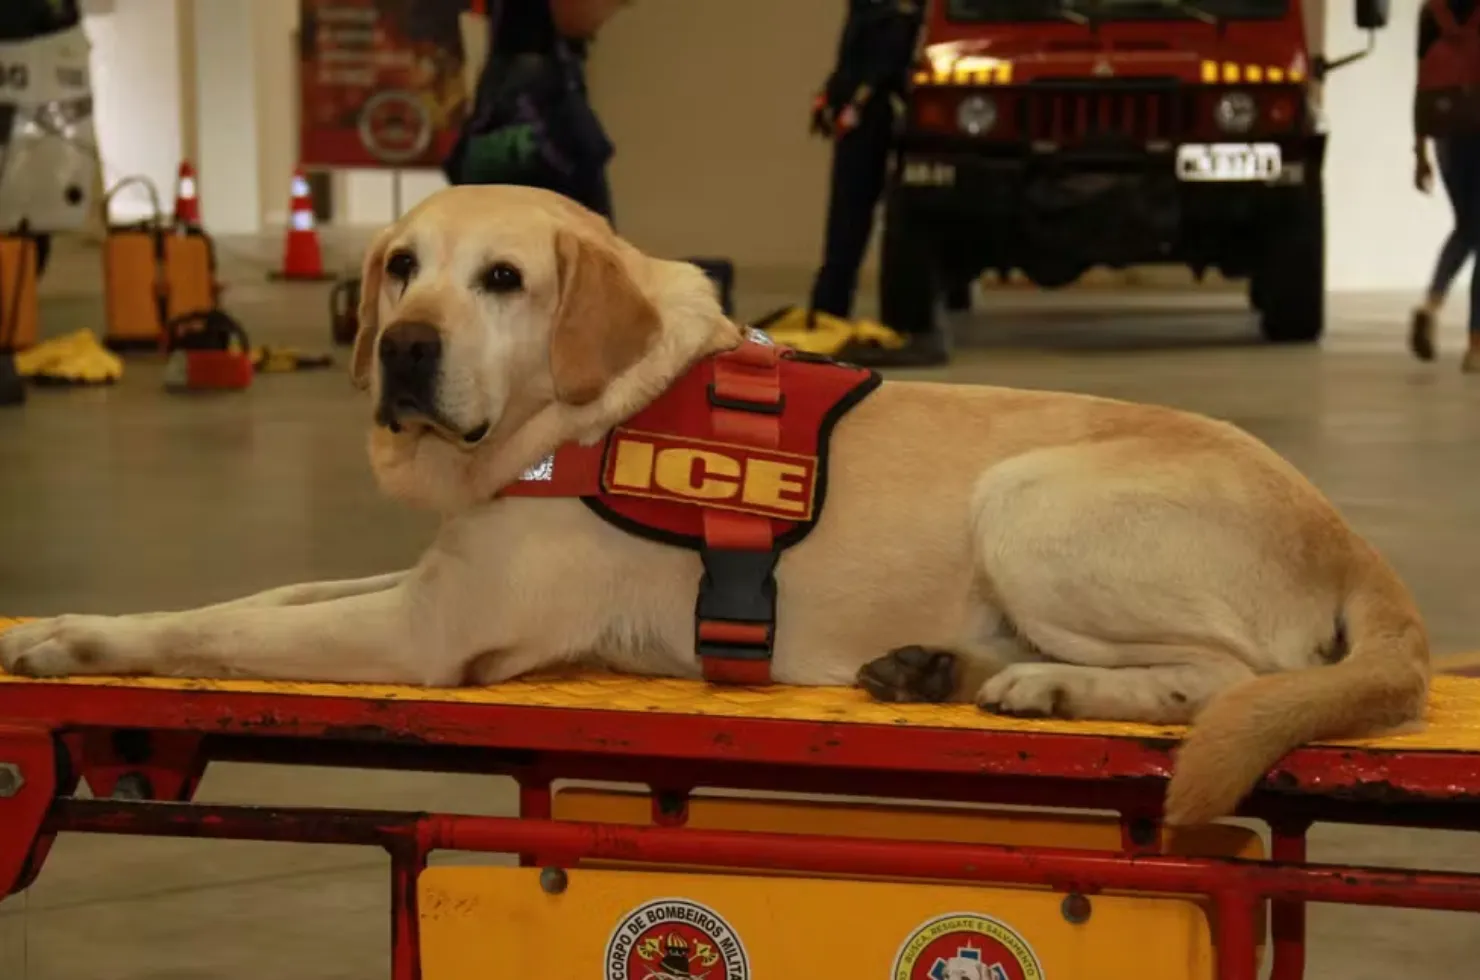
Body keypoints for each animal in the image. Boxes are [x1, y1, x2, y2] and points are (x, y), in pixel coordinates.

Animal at [2, 186, 1432, 829]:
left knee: (1226, 677)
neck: (577, 418)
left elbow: (220, 625)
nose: (402, 349)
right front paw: (51, 621)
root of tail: (1351, 534)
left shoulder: (428, 630)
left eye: (503, 279)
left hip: (1027, 502)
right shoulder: (426, 576)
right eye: (402, 264)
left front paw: (76, 640)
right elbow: (265, 589)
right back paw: (939, 668)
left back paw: (1049, 686)